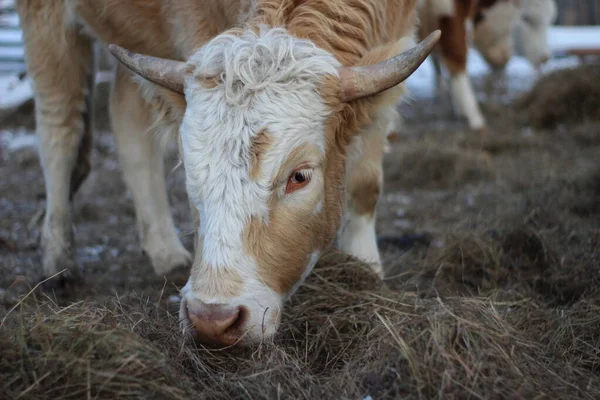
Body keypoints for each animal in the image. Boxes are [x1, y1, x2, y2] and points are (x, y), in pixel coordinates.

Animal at [16, 0, 438, 344]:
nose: (212, 320)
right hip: (46, 24)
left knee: (128, 120)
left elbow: (365, 185)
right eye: (191, 170)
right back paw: (58, 258)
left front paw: (366, 274)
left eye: (299, 177)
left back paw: (166, 252)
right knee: (59, 130)